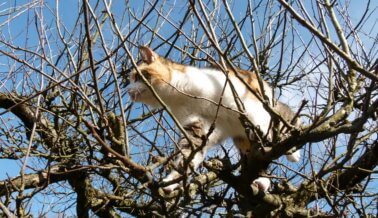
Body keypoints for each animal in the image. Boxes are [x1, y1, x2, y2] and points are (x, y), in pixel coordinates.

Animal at [128, 46, 300, 192]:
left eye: (137, 76)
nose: (128, 91)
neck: (179, 96)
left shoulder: (246, 104)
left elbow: (263, 130)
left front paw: (271, 142)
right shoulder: (198, 126)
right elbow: (188, 155)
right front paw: (172, 181)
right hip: (241, 139)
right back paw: (261, 181)